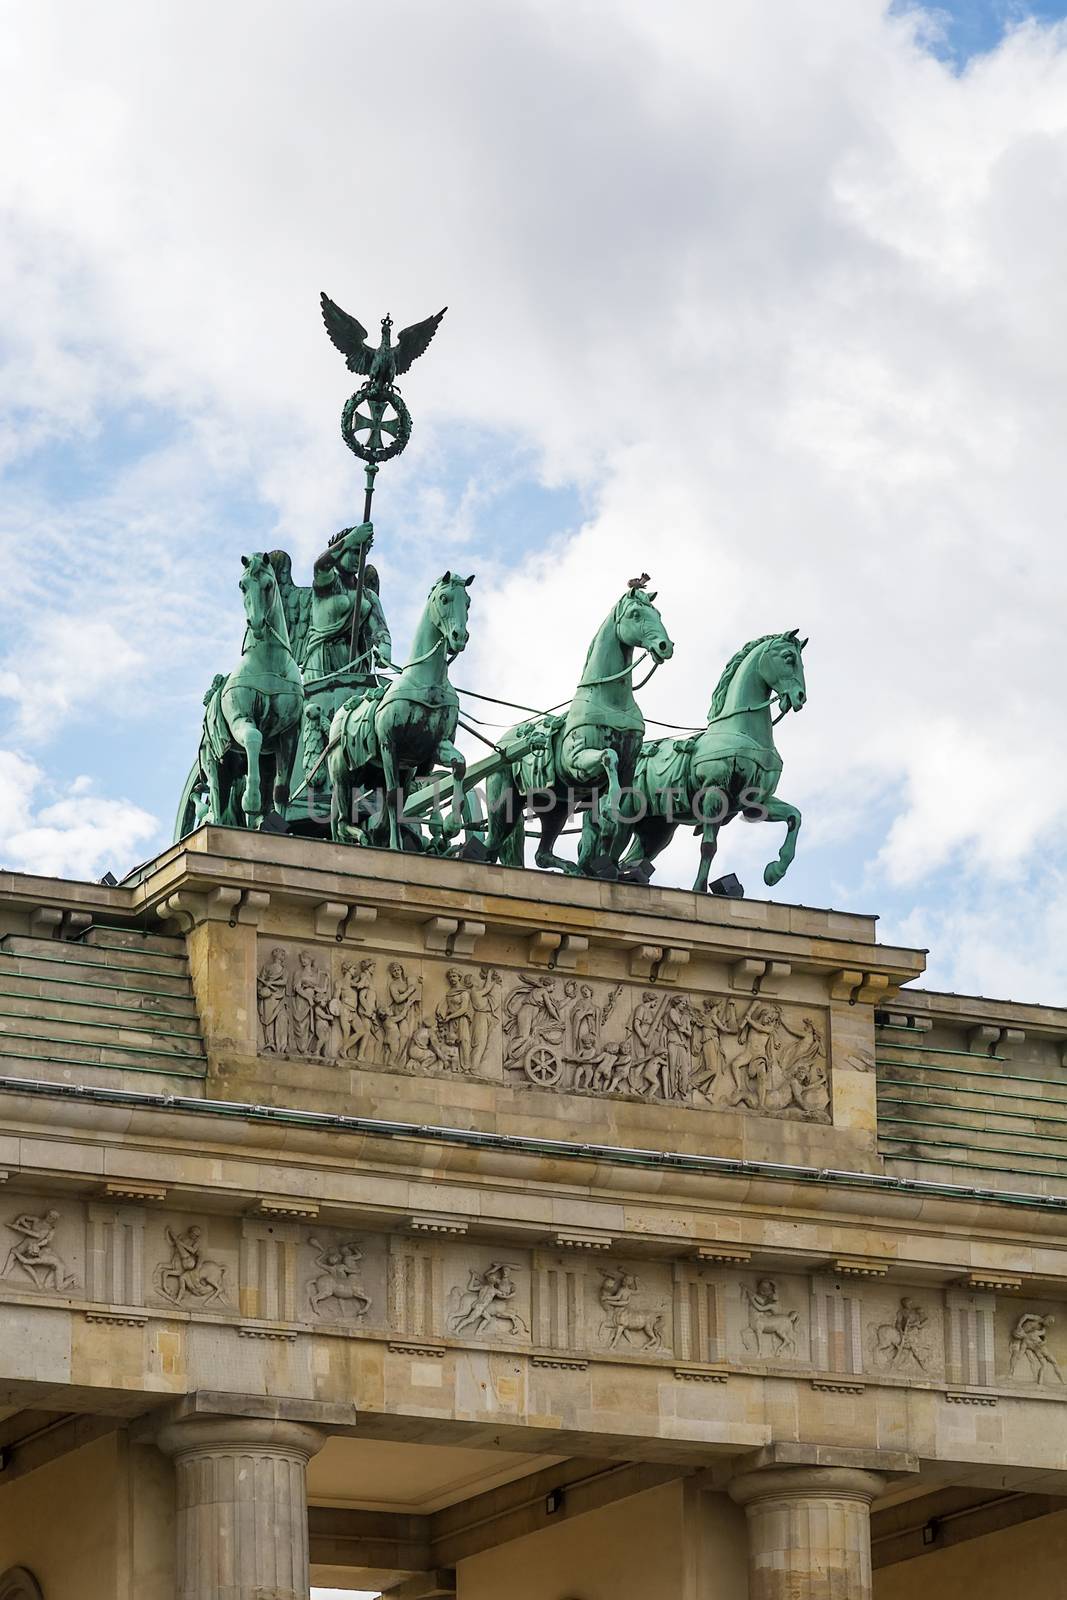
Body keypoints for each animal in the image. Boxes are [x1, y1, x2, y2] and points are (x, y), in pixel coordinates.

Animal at [198, 553, 303, 825]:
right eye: (242, 585)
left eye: (268, 585)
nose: (256, 623)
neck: (269, 662)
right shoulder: (241, 719)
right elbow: (255, 737)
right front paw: (251, 800)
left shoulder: (289, 734)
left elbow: (282, 790)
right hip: (216, 763)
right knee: (218, 798)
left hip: (262, 762)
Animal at [327, 572, 473, 851]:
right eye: (444, 598)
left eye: (468, 602)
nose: (459, 636)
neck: (427, 682)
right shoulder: (388, 744)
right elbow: (394, 797)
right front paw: (395, 847)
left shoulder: (435, 748)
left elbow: (459, 766)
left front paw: (451, 825)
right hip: (342, 773)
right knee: (340, 820)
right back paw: (362, 835)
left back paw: (373, 833)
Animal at [486, 588, 671, 876]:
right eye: (635, 614)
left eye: (658, 614)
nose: (665, 646)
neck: (611, 701)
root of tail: (502, 744)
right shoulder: (577, 763)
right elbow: (608, 756)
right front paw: (609, 809)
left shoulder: (629, 769)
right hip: (504, 804)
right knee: (491, 845)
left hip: (556, 809)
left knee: (541, 854)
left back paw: (573, 868)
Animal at [617, 627, 809, 902]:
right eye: (788, 658)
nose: (800, 697)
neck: (740, 730)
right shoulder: (714, 793)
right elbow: (709, 846)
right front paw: (699, 889)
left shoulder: (755, 802)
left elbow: (795, 817)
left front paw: (775, 871)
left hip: (656, 829)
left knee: (630, 858)